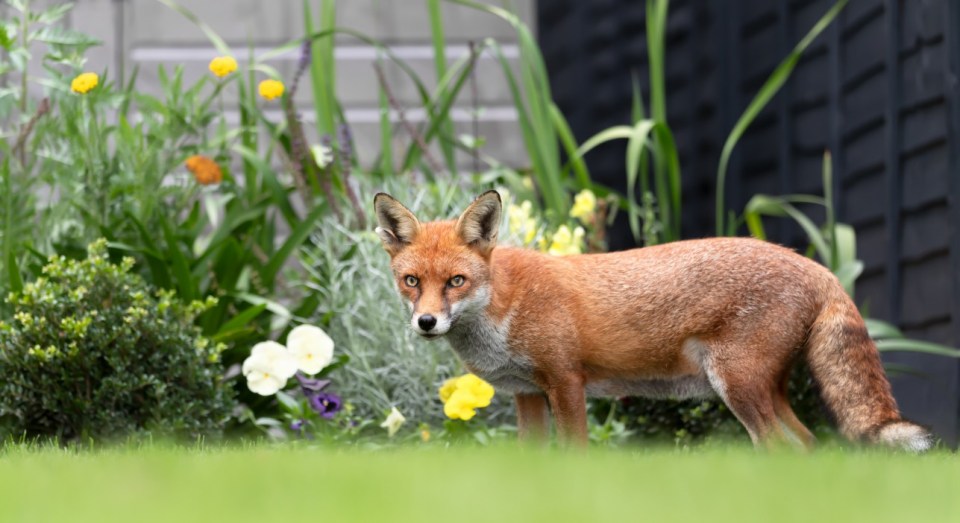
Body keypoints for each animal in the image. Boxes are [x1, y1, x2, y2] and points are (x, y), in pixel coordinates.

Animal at [374, 190, 928, 452]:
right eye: (411, 281)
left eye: (456, 281)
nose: (426, 322)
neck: (504, 306)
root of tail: (816, 266)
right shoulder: (527, 394)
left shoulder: (566, 382)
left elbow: (574, 453)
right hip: (763, 392)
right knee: (810, 445)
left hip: (738, 387)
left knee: (783, 449)